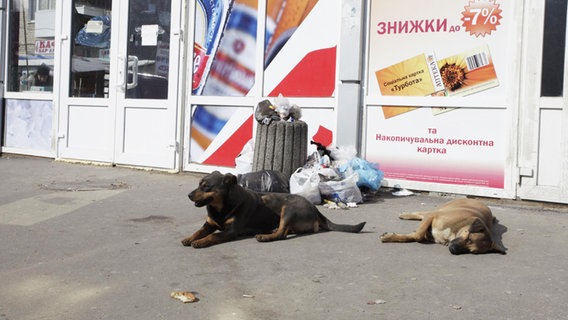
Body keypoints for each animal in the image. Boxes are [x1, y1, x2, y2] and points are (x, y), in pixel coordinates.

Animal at [183, 170, 368, 248]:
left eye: (206, 187)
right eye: (199, 184)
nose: (189, 195)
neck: (221, 207)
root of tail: (315, 210)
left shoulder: (230, 231)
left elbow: (213, 236)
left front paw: (200, 242)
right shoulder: (209, 223)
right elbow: (199, 231)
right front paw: (190, 237)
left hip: (289, 209)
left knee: (282, 234)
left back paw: (265, 237)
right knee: (284, 231)